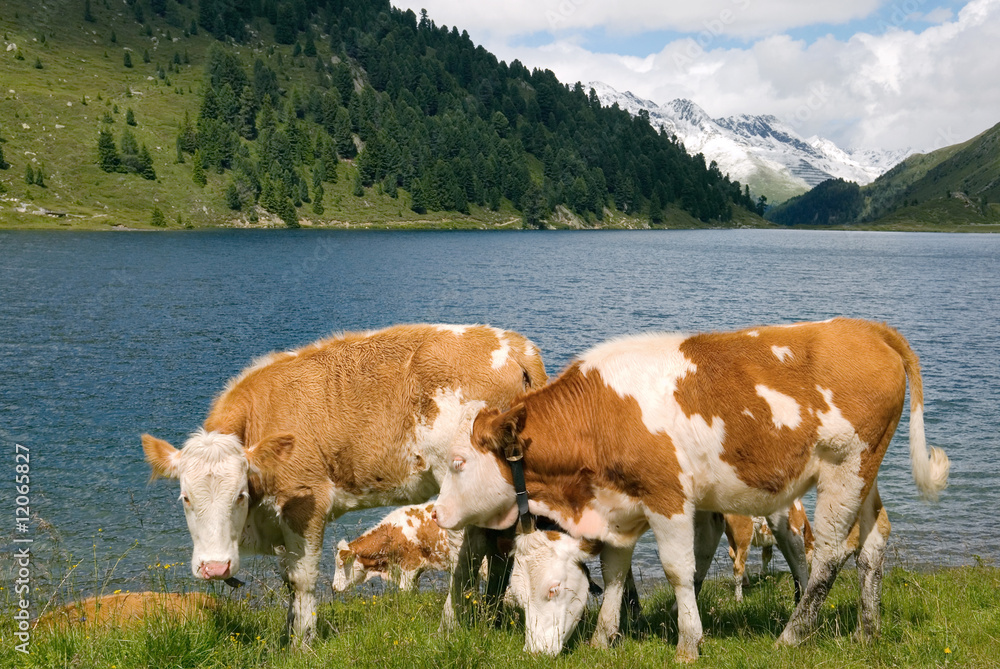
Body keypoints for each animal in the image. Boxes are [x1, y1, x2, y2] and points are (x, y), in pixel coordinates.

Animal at [434, 320, 948, 664]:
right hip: (866, 471)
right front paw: (604, 638)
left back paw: (793, 634)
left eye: (458, 463)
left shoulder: (669, 499)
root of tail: (863, 327)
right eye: (517, 600)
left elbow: (679, 571)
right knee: (874, 541)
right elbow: (615, 573)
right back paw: (867, 630)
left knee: (830, 553)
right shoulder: (619, 508)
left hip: (845, 468)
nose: (437, 513)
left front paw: (688, 643)